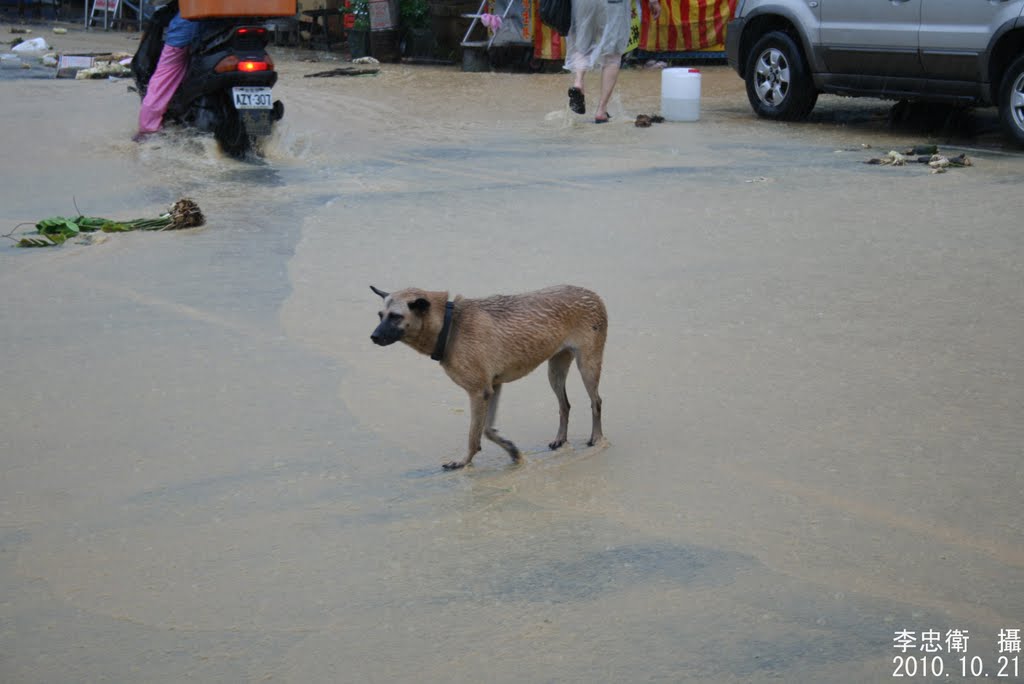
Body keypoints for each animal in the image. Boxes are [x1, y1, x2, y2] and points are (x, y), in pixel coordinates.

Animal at [370, 284, 602, 471]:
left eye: (396, 316)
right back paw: (560, 439)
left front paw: (463, 462)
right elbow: (488, 430)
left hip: (588, 366)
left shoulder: (478, 392)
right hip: (555, 371)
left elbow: (474, 435)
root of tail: (593, 294)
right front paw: (512, 450)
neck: (450, 325)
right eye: (380, 315)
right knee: (565, 405)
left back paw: (597, 438)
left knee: (596, 402)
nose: (373, 337)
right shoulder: (492, 387)